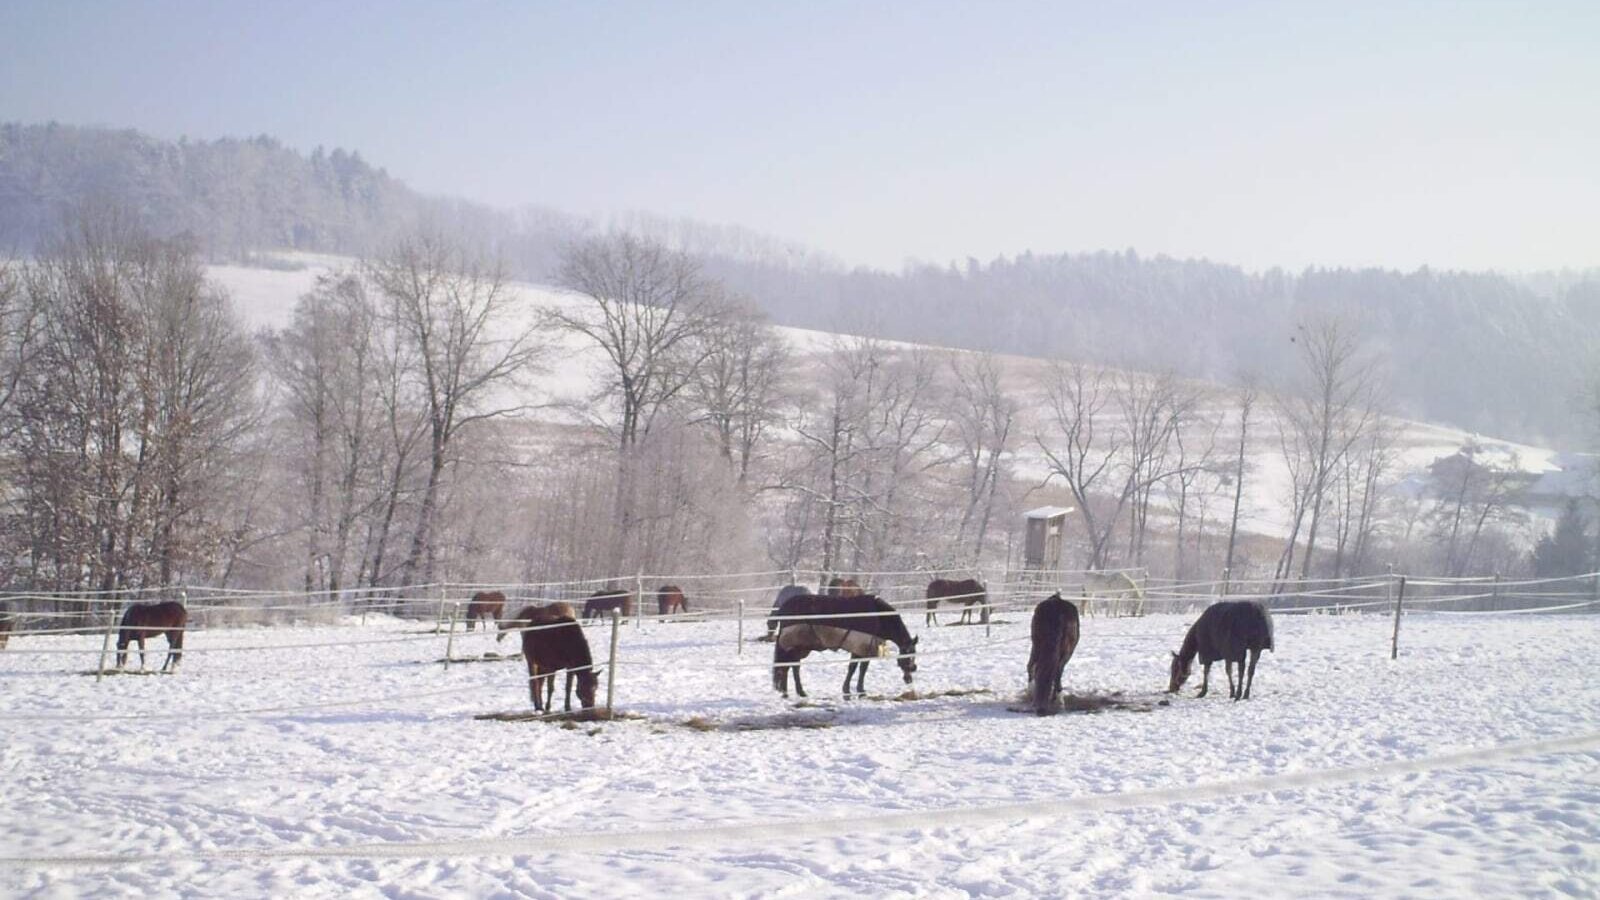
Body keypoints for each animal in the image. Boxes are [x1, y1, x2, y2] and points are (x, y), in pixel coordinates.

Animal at [771, 593, 918, 698]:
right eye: (907, 656)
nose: (909, 679)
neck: (878, 616)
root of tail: (784, 607)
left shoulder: (866, 648)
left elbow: (862, 669)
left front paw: (860, 691)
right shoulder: (859, 648)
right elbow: (853, 668)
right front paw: (848, 692)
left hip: (800, 647)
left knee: (792, 667)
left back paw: (797, 692)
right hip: (793, 646)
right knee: (787, 666)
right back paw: (787, 692)